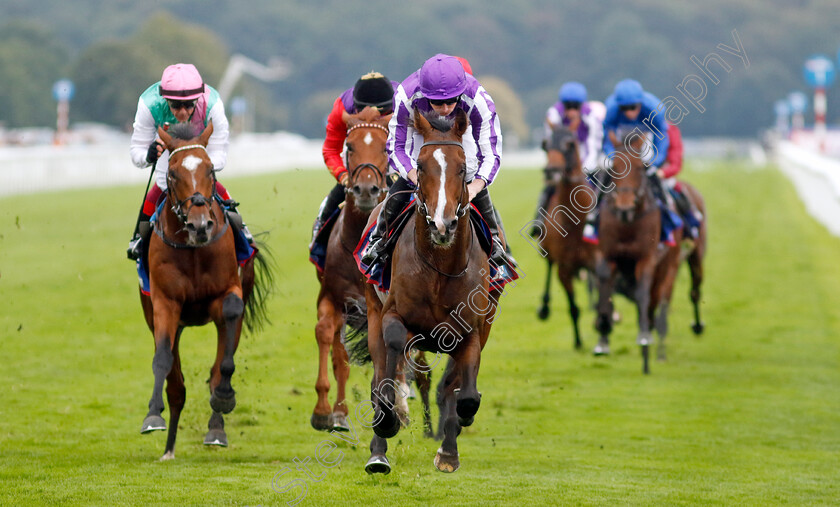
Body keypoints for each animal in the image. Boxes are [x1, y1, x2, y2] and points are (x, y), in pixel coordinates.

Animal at [136, 122, 270, 460]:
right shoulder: (165, 303)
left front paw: (223, 398)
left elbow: (223, 359)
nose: (200, 225)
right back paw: (169, 446)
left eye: (210, 169)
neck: (193, 249)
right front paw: (153, 415)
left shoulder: (228, 293)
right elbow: (163, 359)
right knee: (176, 384)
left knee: (218, 365)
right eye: (171, 173)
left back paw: (216, 428)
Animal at [312, 107, 394, 432]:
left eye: (385, 147)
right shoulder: (334, 297)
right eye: (349, 146)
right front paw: (328, 411)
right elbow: (330, 341)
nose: (366, 189)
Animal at [362, 108, 506, 476]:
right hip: (372, 311)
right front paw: (388, 420)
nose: (442, 225)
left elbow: (463, 394)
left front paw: (451, 446)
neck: (439, 266)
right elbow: (390, 364)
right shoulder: (393, 315)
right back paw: (378, 454)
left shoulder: (472, 329)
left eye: (463, 168)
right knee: (378, 378)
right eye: (422, 165)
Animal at [592, 133, 684, 376]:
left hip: (668, 266)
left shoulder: (647, 259)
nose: (624, 206)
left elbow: (644, 295)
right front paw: (602, 338)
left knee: (657, 299)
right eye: (613, 166)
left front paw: (644, 337)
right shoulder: (608, 257)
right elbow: (604, 292)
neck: (628, 224)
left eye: (641, 168)